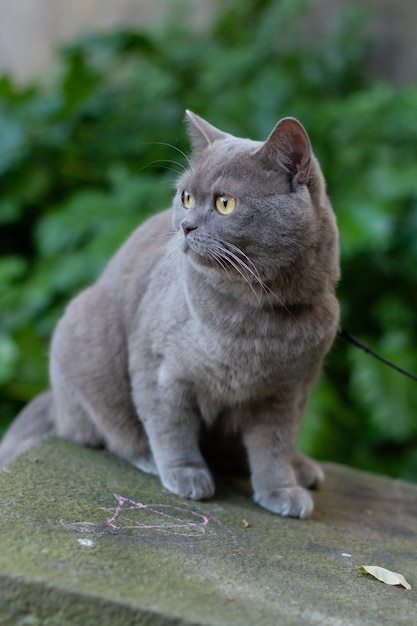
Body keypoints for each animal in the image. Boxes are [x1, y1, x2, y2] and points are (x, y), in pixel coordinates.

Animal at [0, 112, 338, 516]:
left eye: (225, 203)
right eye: (186, 197)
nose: (186, 225)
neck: (258, 315)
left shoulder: (285, 393)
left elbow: (273, 446)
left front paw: (281, 490)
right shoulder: (162, 367)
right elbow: (170, 425)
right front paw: (186, 473)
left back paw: (300, 468)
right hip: (85, 332)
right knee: (113, 432)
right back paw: (148, 457)